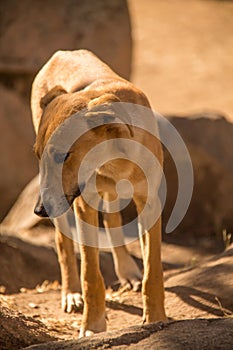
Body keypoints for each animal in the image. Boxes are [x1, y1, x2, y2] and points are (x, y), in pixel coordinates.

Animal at [31, 49, 167, 336]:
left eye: (62, 155)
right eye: (38, 155)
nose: (39, 210)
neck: (112, 159)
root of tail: (62, 53)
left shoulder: (149, 203)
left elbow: (153, 270)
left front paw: (156, 317)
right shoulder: (84, 205)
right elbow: (90, 274)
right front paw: (93, 325)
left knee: (113, 218)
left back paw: (127, 270)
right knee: (63, 242)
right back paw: (71, 293)